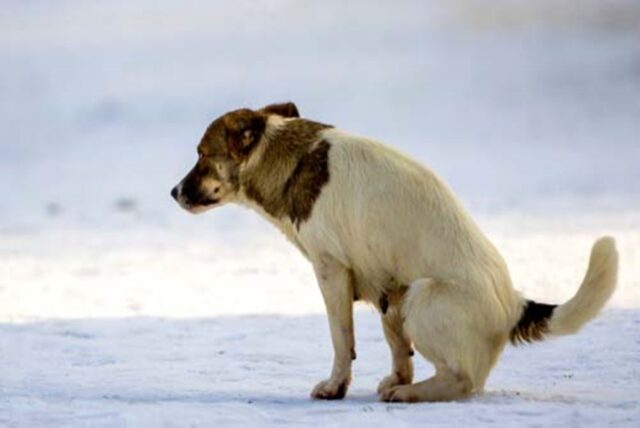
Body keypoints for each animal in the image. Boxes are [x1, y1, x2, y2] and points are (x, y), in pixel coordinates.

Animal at [171, 102, 620, 402]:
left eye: (201, 155)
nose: (173, 192)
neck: (292, 157)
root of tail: (514, 304)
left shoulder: (331, 271)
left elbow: (341, 339)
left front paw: (335, 387)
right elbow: (379, 348)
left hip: (422, 295)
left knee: (463, 380)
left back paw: (411, 394)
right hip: (398, 298)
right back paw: (402, 386)